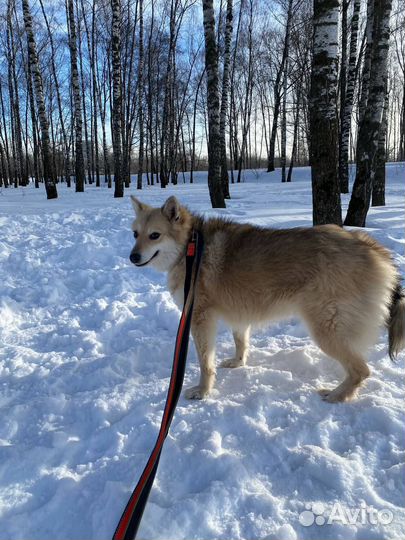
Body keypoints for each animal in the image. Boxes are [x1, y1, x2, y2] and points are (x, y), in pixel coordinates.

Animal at [129, 196, 404, 402]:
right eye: (135, 234)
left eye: (154, 235)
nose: (132, 257)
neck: (191, 246)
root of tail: (370, 245)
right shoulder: (239, 314)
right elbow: (241, 342)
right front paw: (238, 363)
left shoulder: (200, 320)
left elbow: (206, 362)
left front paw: (204, 391)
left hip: (326, 330)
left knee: (362, 371)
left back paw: (337, 395)